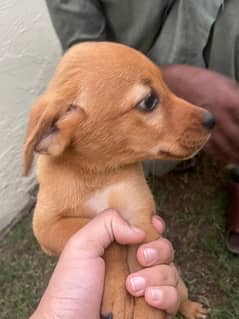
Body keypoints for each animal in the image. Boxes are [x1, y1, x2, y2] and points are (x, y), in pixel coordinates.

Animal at [23, 42, 213, 319]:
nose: (212, 120)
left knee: (180, 298)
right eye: (149, 101)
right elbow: (109, 240)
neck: (97, 174)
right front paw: (115, 297)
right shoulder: (46, 227)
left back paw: (193, 308)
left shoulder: (141, 221)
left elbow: (147, 294)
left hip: (178, 281)